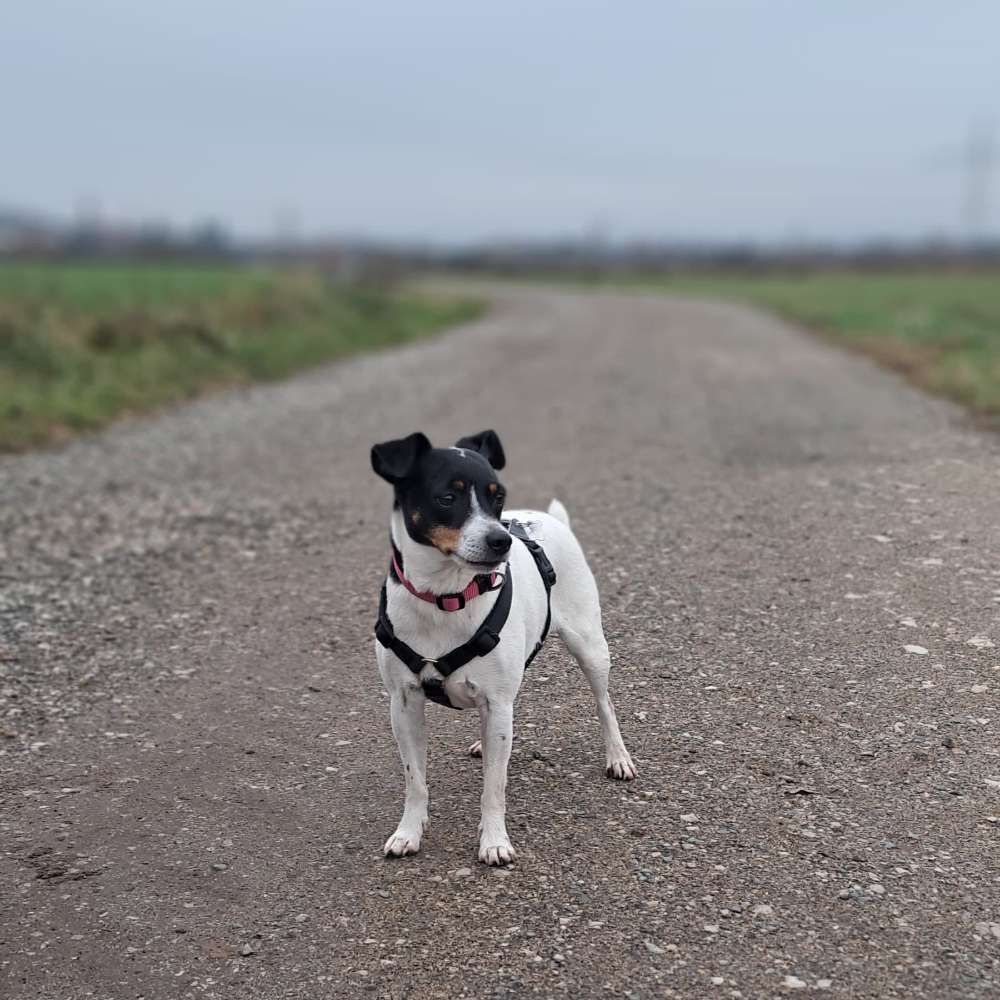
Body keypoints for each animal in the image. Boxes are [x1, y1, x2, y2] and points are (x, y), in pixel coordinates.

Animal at [372, 426, 636, 864]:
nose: (501, 541)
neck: (446, 597)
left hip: (590, 647)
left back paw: (618, 757)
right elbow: (415, 780)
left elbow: (493, 786)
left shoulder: (496, 703)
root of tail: (549, 520)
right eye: (447, 497)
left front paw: (494, 841)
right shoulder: (404, 703)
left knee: (605, 704)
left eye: (498, 497)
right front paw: (408, 832)